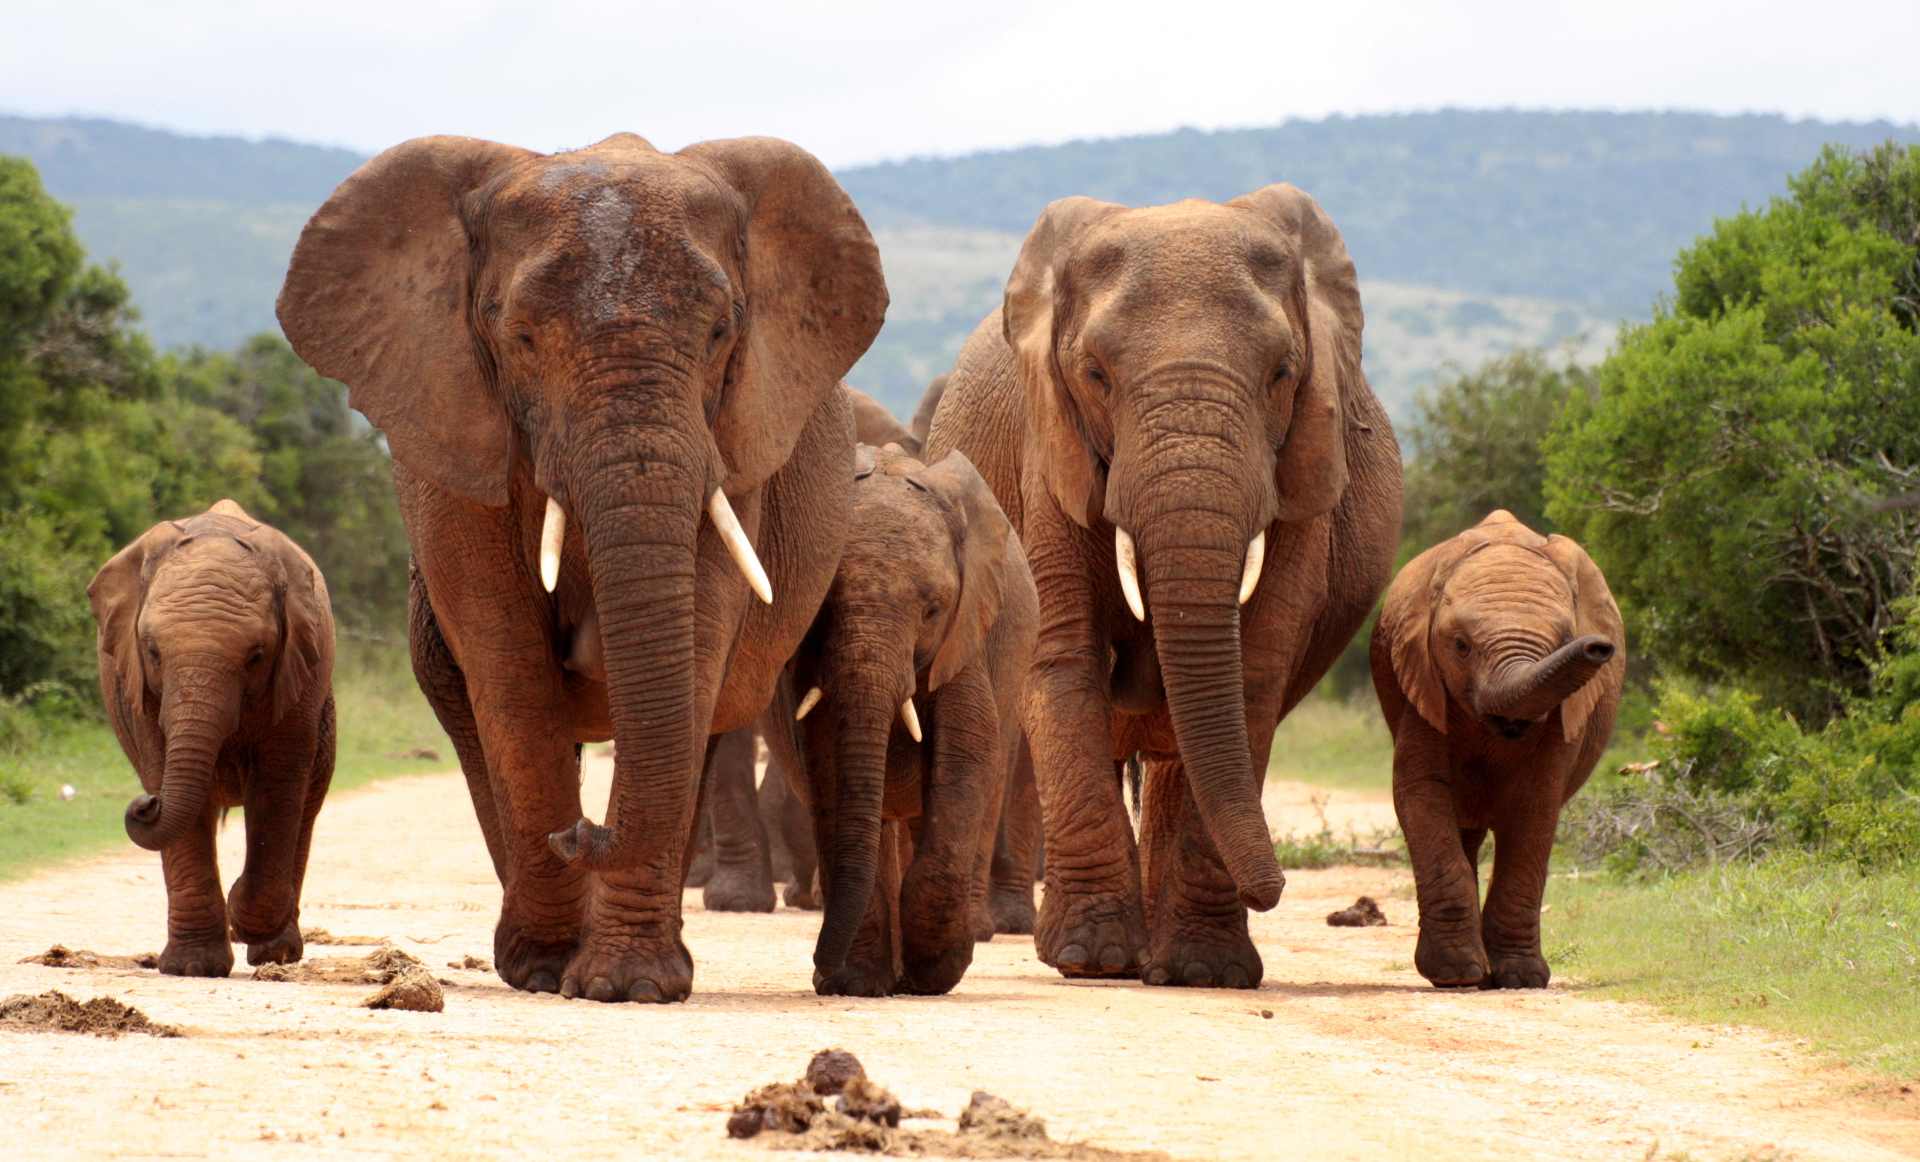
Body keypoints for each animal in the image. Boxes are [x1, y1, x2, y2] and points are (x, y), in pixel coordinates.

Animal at [88, 499, 335, 977]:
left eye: (256, 656)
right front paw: (191, 968)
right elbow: (167, 774)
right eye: (152, 651)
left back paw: (275, 953)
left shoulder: (297, 679)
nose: (145, 804)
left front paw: (240, 911)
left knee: (306, 808)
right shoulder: (140, 691)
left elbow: (276, 787)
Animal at [278, 132, 887, 1003]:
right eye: (522, 337)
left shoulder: (737, 447)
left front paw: (629, 985)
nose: (584, 832)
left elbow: (694, 648)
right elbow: (510, 669)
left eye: (720, 333)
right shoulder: (454, 449)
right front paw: (546, 968)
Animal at [764, 445, 1037, 996]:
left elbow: (966, 759)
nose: (819, 970)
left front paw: (932, 973)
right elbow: (829, 769)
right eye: (821, 609)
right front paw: (854, 982)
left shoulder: (964, 638)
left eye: (932, 610)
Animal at [925, 185, 1403, 988]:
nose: (1277, 890)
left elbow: (1252, 672)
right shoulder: (1047, 456)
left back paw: (1165, 960)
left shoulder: (1301, 475)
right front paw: (1089, 960)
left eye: (1282, 373)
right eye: (1095, 375)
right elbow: (1065, 658)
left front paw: (1208, 972)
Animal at [1371, 510, 1624, 989]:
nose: (1600, 646)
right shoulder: (1423, 685)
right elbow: (1420, 791)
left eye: (1565, 639)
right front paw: (1455, 973)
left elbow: (1534, 807)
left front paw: (1520, 978)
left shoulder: (1564, 716)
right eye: (1460, 646)